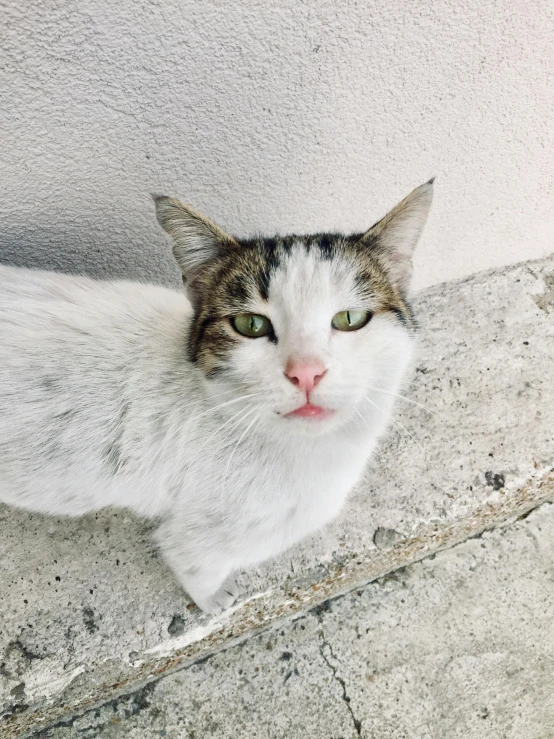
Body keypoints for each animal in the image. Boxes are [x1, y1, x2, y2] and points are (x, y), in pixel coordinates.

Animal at [0, 181, 432, 612]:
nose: (305, 372)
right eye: (251, 324)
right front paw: (215, 600)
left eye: (350, 319)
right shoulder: (200, 535)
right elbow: (192, 563)